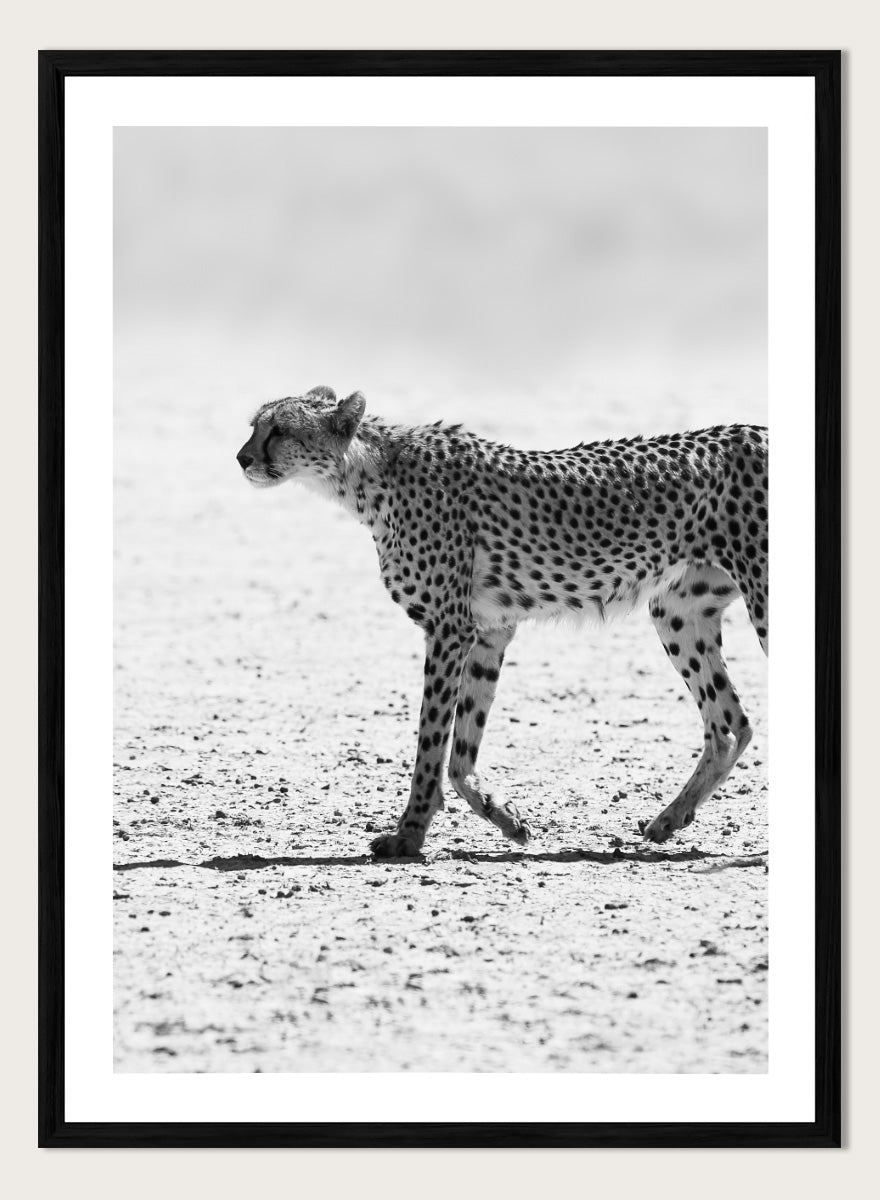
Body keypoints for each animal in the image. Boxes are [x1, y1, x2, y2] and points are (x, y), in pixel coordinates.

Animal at [237, 386, 768, 858]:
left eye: (279, 430)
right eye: (254, 426)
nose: (242, 459)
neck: (368, 473)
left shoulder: (449, 628)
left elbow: (431, 742)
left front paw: (409, 835)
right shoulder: (489, 630)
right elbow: (461, 749)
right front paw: (505, 817)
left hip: (759, 600)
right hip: (677, 612)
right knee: (729, 724)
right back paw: (669, 820)